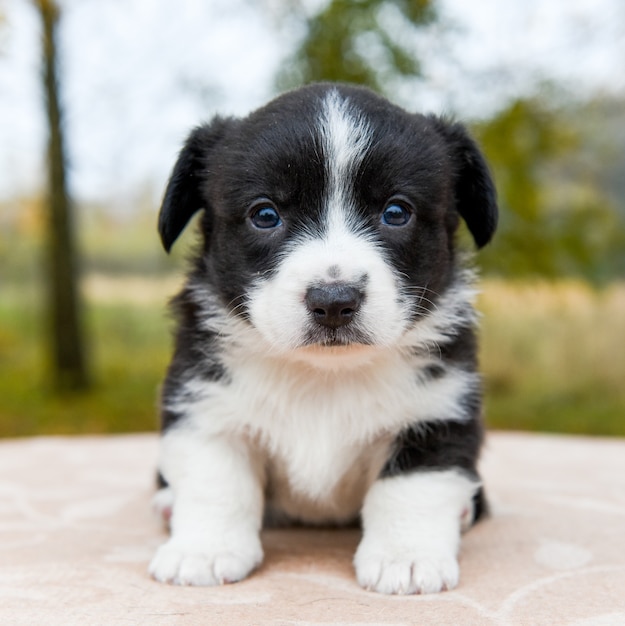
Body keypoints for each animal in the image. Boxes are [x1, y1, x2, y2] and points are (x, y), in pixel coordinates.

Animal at [147, 83, 498, 596]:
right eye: (265, 214)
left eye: (397, 212)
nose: (334, 301)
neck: (324, 375)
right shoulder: (206, 407)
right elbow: (216, 482)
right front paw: (204, 550)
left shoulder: (437, 412)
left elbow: (411, 488)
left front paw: (406, 558)